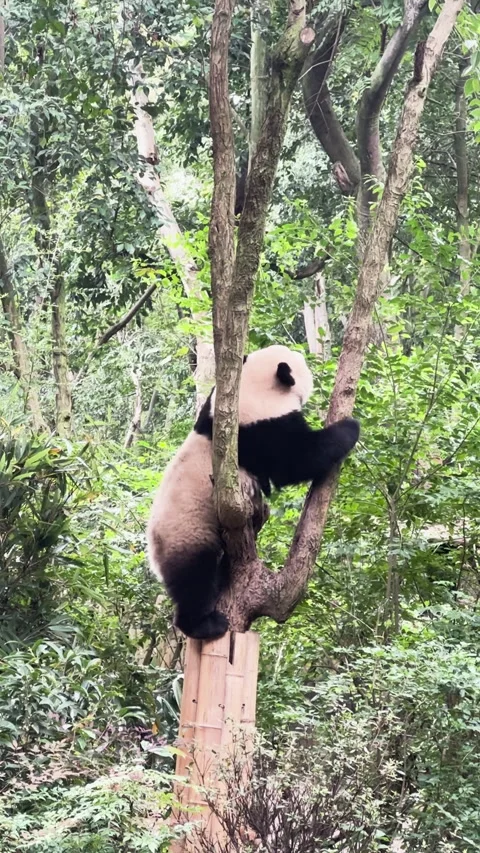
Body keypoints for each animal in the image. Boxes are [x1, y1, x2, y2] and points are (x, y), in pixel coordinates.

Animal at [147, 344, 359, 640]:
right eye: (302, 363)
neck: (252, 389)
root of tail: (153, 553)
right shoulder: (262, 429)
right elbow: (296, 460)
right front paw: (351, 427)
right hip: (186, 532)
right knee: (195, 579)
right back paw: (205, 624)